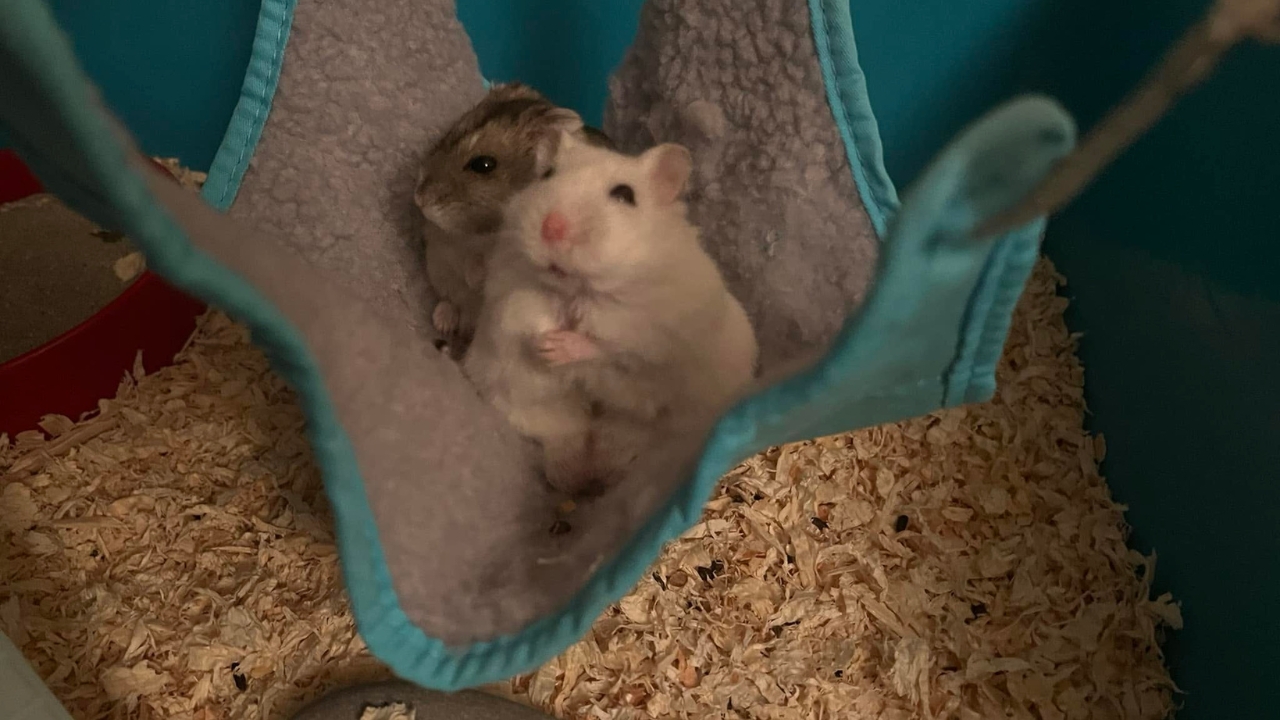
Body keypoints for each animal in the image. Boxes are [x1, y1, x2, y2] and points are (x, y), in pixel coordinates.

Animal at [413, 82, 616, 353]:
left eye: (484, 164)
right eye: (449, 134)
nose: (418, 198)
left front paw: (475, 277)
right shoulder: (441, 244)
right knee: (451, 302)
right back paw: (444, 322)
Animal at [464, 130, 758, 493]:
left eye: (624, 195)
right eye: (547, 175)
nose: (551, 227)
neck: (578, 290)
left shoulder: (650, 332)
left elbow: (609, 347)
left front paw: (559, 348)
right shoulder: (511, 296)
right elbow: (528, 319)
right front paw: (546, 346)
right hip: (522, 399)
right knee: (564, 436)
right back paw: (572, 476)